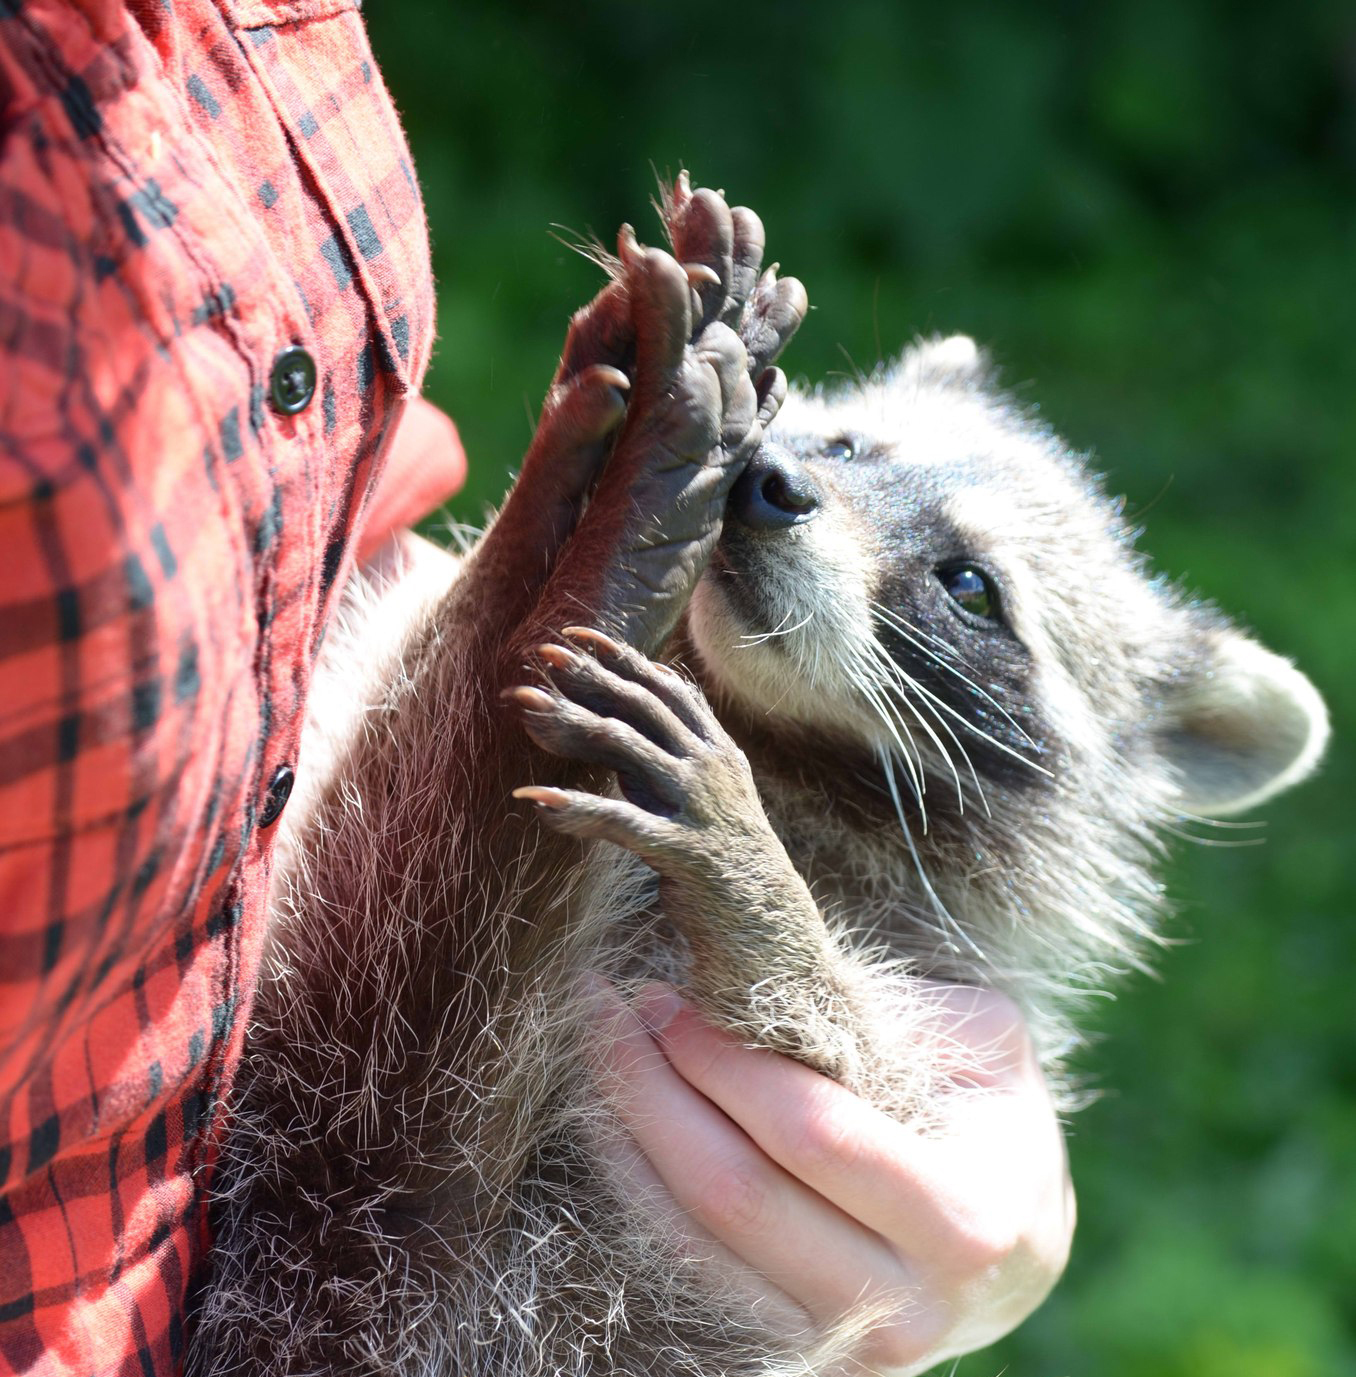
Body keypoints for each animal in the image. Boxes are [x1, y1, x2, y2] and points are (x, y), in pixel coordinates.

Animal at [187, 183, 1321, 1377]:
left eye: (969, 585)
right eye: (848, 445)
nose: (774, 486)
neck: (773, 735)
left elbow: (870, 1070)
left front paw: (761, 889)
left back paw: (562, 584)